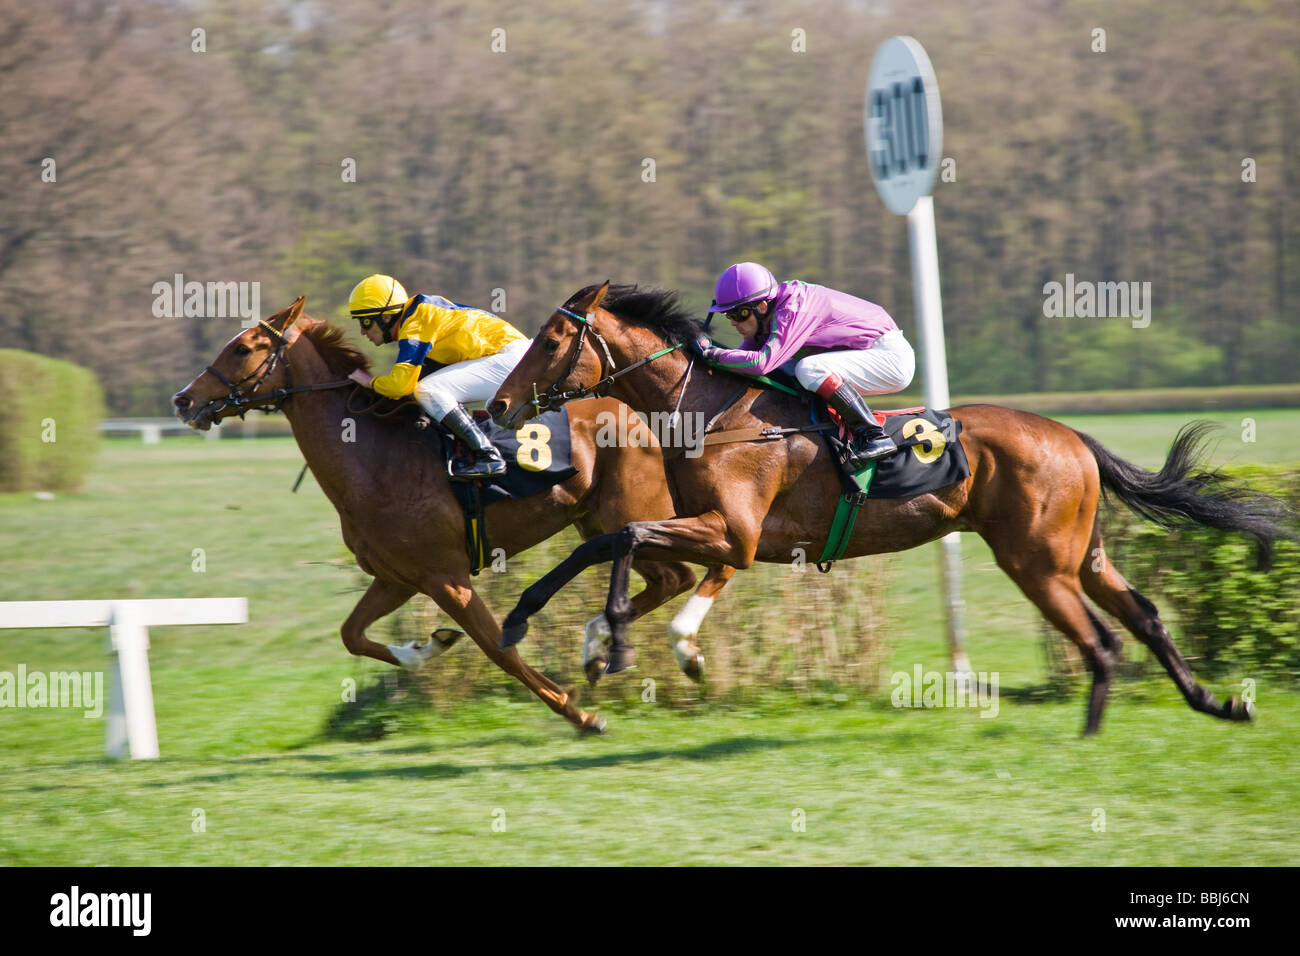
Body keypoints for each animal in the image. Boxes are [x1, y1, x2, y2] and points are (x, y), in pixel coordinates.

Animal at [174, 297, 738, 733]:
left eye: (243, 347)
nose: (183, 400)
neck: (373, 457)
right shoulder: (398, 577)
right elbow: (352, 635)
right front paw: (427, 648)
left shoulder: (446, 577)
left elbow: (498, 649)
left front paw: (580, 714)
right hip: (599, 520)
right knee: (671, 576)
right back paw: (602, 648)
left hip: (641, 511)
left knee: (714, 558)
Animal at [488, 280, 1300, 738]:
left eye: (553, 339)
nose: (497, 406)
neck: (710, 409)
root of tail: (1072, 436)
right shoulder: (714, 535)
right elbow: (606, 545)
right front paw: (567, 629)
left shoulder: (734, 535)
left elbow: (622, 537)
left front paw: (637, 643)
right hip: (1084, 553)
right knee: (1147, 617)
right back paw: (1217, 705)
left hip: (1037, 562)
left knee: (1101, 639)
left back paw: (1094, 731)